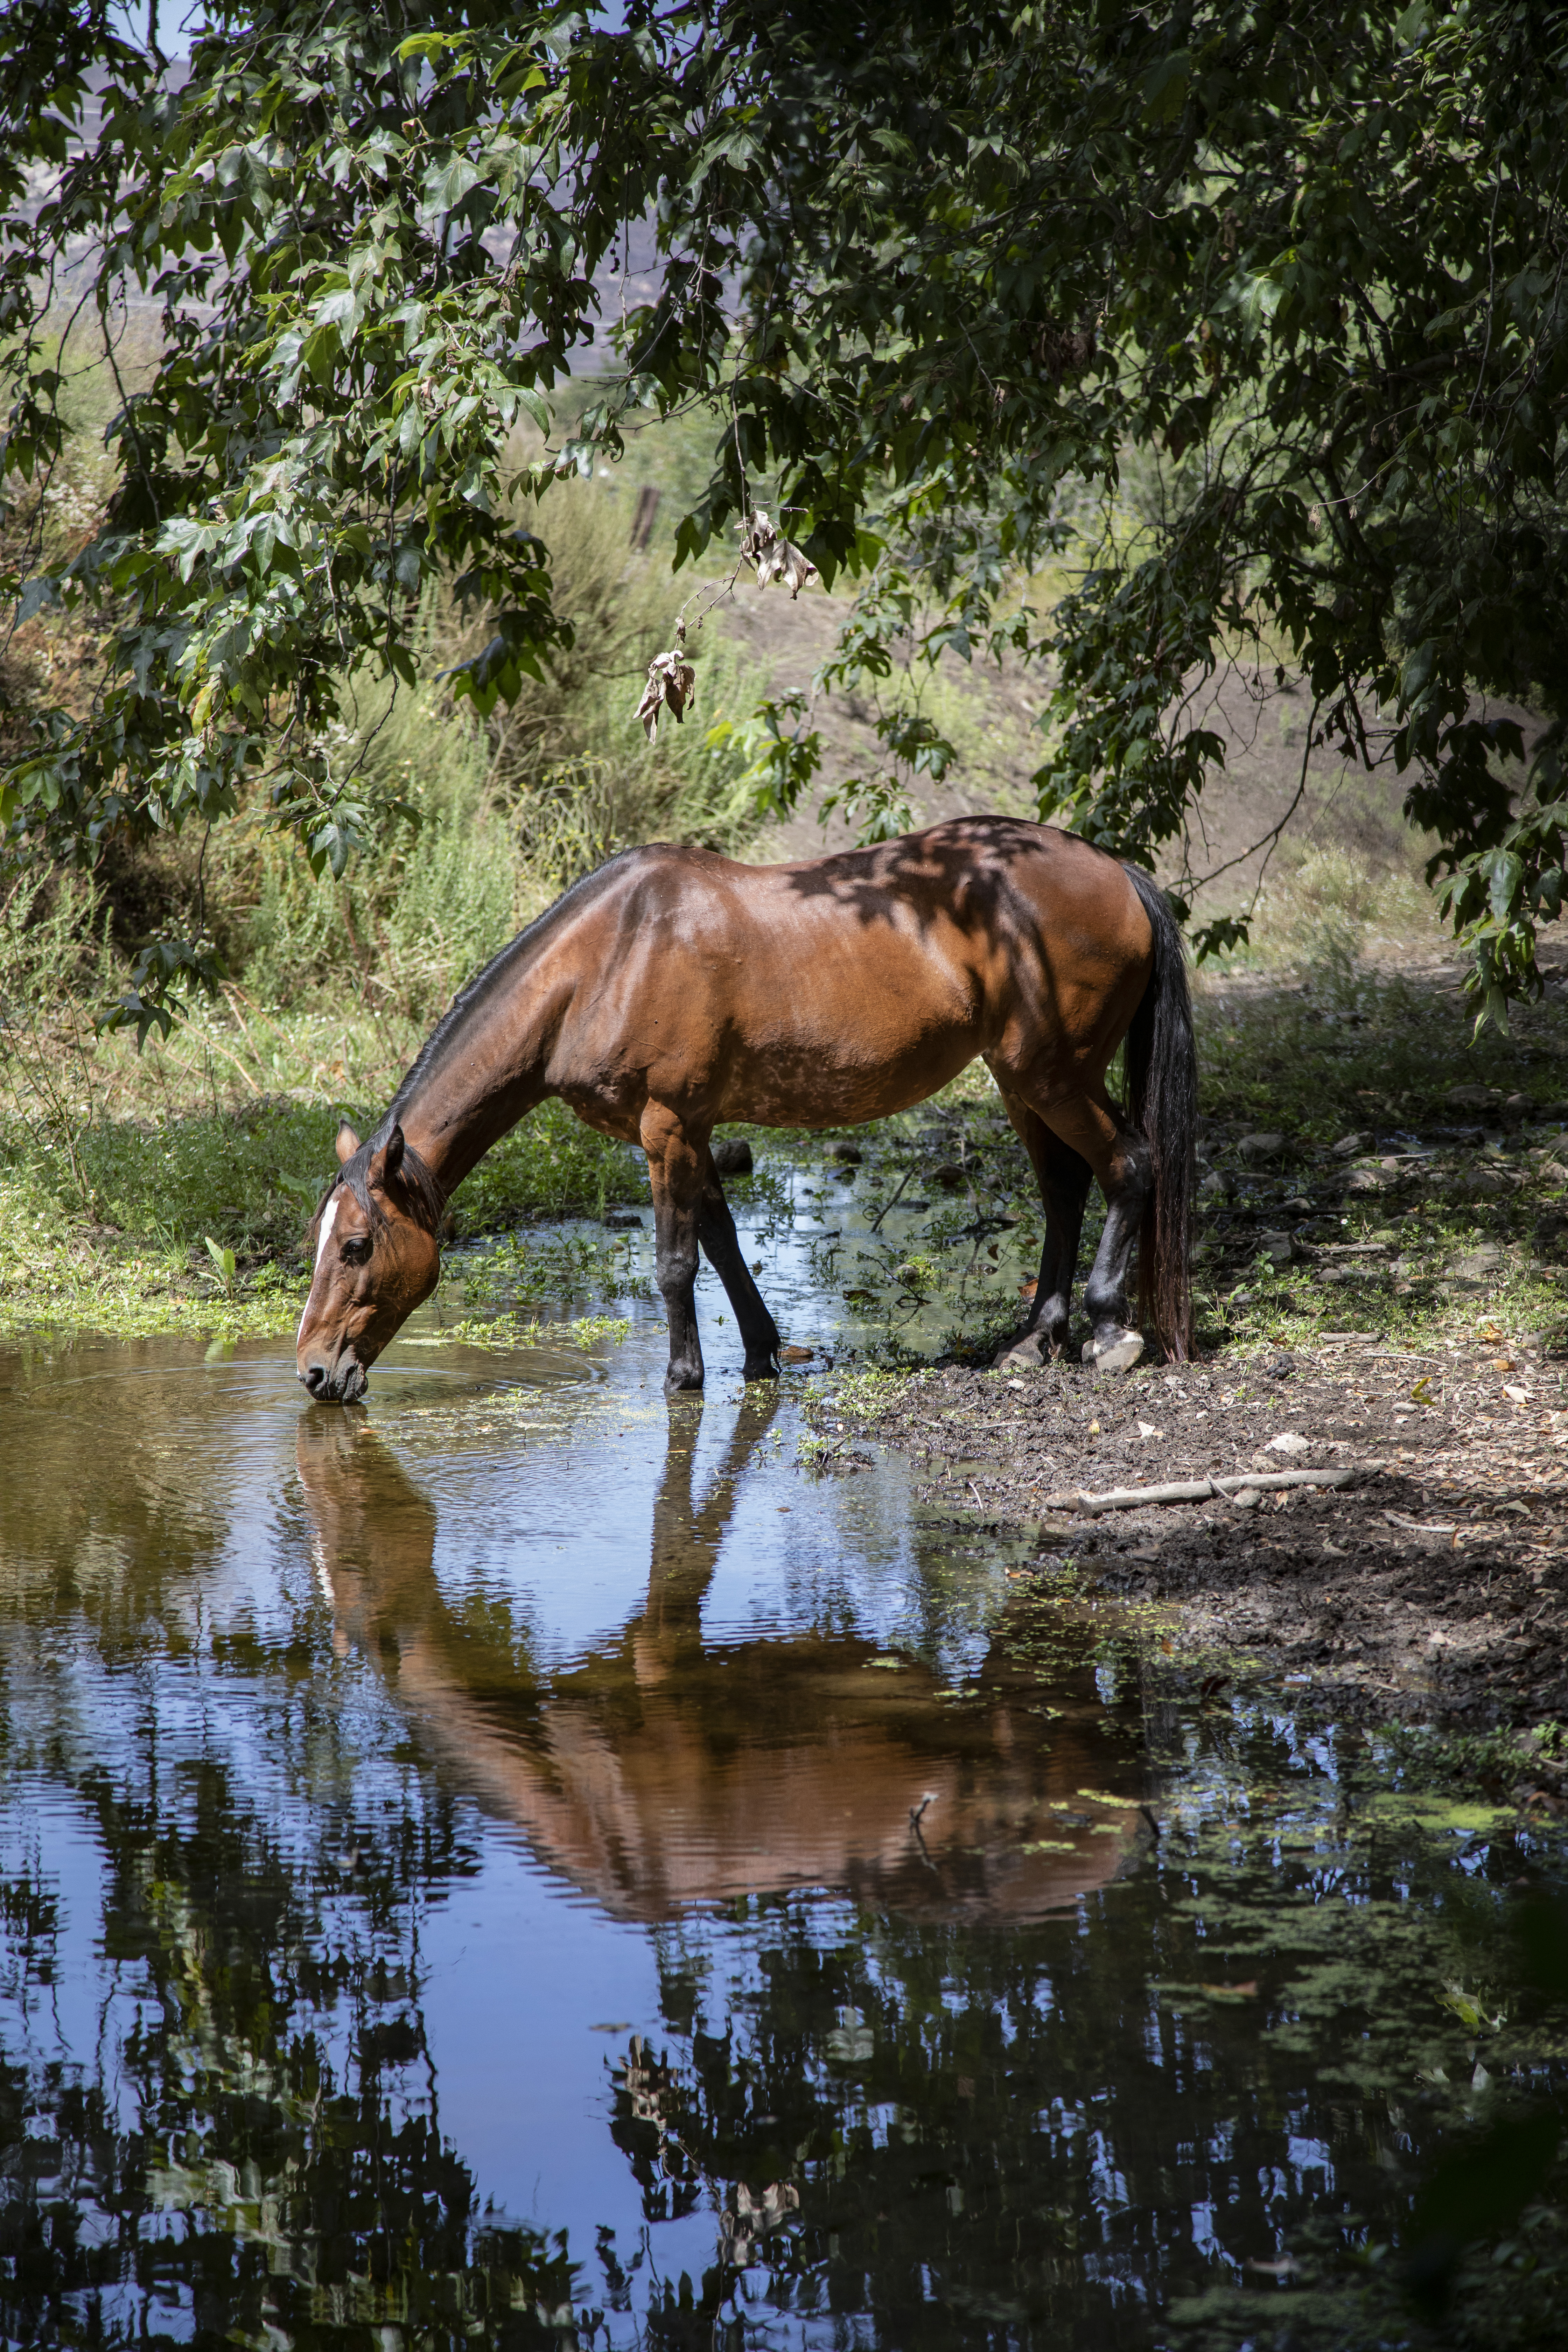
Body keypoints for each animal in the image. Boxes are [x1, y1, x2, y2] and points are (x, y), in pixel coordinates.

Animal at [294, 814, 1195, 1403]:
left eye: (357, 1245)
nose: (313, 1372)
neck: (607, 959)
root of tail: (1116, 873)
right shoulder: (688, 1130)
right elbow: (722, 1243)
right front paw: (762, 1352)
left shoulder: (664, 1127)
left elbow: (674, 1262)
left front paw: (683, 1377)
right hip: (1021, 1083)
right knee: (1065, 1193)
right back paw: (1034, 1340)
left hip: (1052, 1076)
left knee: (1128, 1165)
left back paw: (1108, 1331)